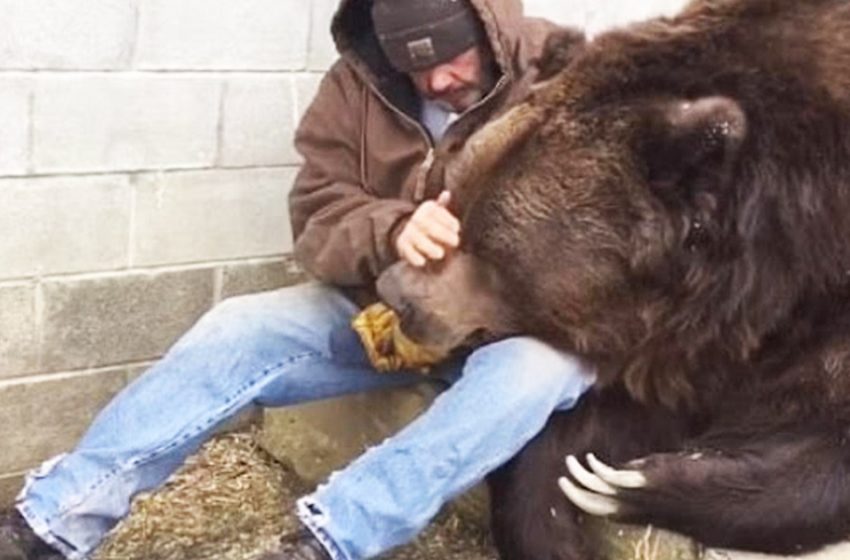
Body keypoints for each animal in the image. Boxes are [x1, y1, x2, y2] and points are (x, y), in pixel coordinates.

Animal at [372, 0, 850, 556]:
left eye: (491, 253)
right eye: (456, 199)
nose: (396, 292)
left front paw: (636, 482)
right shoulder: (678, 336)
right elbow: (585, 430)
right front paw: (570, 498)